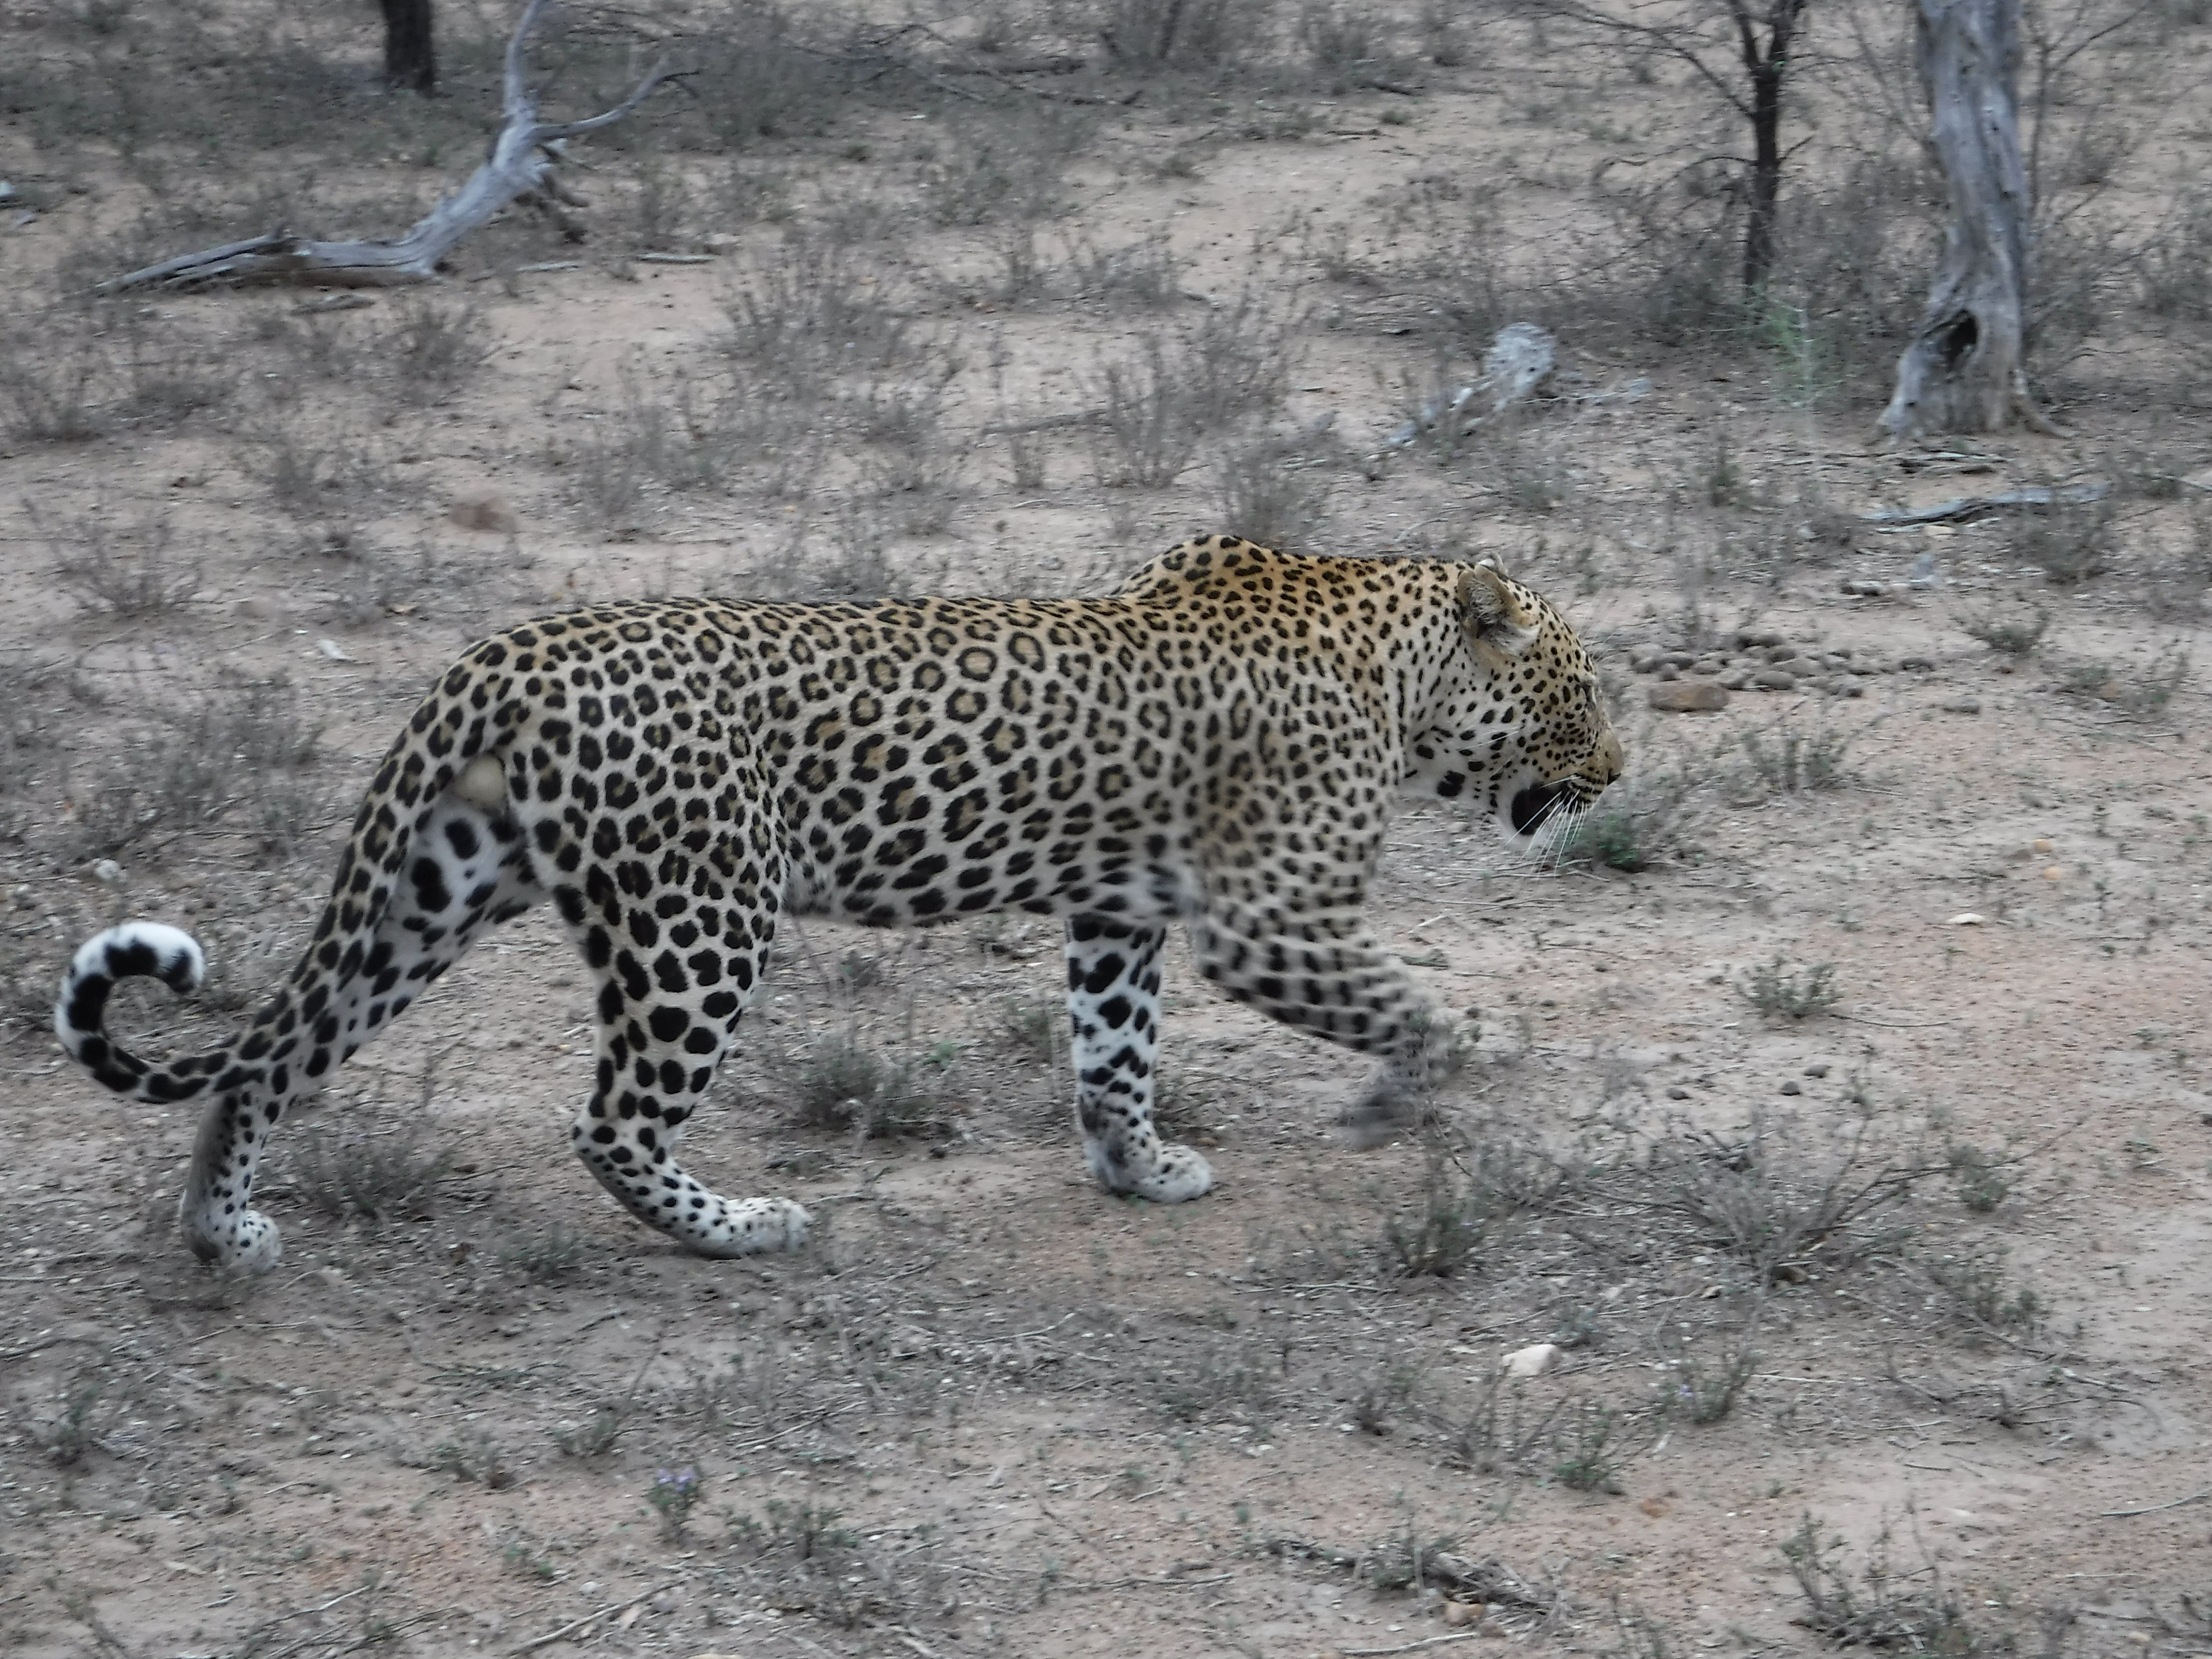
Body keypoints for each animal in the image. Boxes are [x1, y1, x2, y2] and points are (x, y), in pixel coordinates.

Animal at [56, 536, 1622, 1273]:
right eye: (1584, 689)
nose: (1618, 773)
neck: (1399, 667)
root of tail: (500, 653)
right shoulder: (1270, 920)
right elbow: (1411, 1006)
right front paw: (1401, 1097)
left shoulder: (1121, 914)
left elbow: (1114, 1054)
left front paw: (1137, 1168)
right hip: (702, 919)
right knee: (609, 1121)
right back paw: (741, 1227)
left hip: (434, 894)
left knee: (270, 1058)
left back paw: (221, 1233)